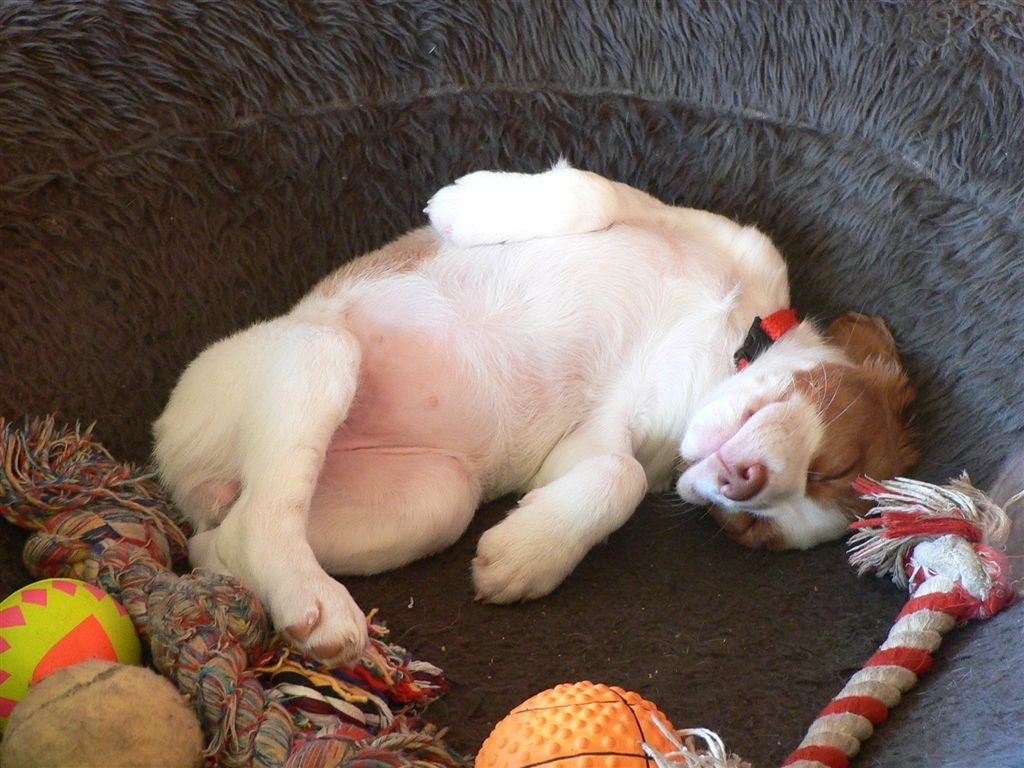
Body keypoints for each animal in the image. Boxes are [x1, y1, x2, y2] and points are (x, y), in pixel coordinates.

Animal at [153, 164, 917, 664]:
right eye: (832, 466)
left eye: (752, 530)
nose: (743, 487)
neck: (720, 347)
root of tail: (182, 472)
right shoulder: (701, 227)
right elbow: (590, 190)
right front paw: (464, 206)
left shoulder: (600, 444)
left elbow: (617, 478)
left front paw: (527, 553)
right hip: (318, 351)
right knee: (264, 515)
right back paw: (314, 602)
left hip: (432, 498)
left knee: (233, 532)